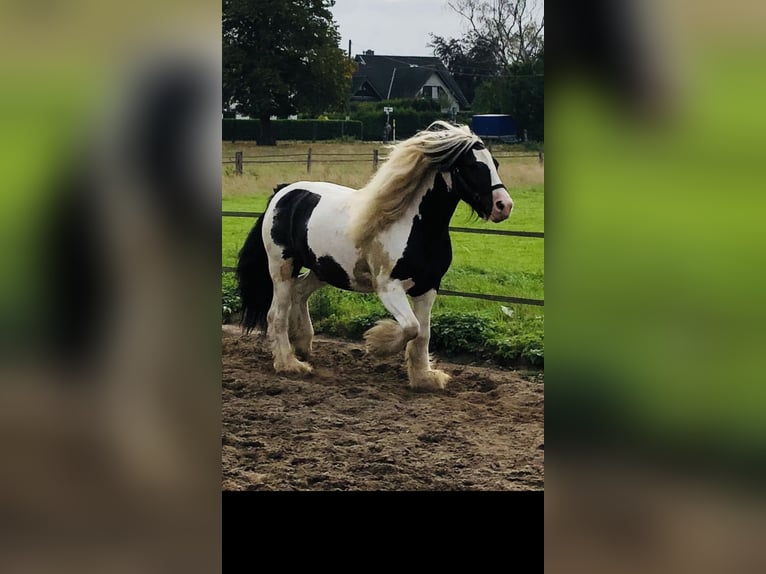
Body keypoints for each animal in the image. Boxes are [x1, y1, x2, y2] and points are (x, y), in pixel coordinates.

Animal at [237, 121, 512, 392]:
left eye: (495, 164)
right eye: (472, 166)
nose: (504, 206)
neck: (416, 227)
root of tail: (283, 192)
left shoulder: (428, 287)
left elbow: (423, 333)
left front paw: (425, 378)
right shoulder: (388, 287)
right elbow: (410, 327)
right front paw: (377, 344)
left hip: (323, 269)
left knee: (299, 292)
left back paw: (303, 344)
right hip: (282, 267)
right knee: (276, 314)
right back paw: (290, 364)